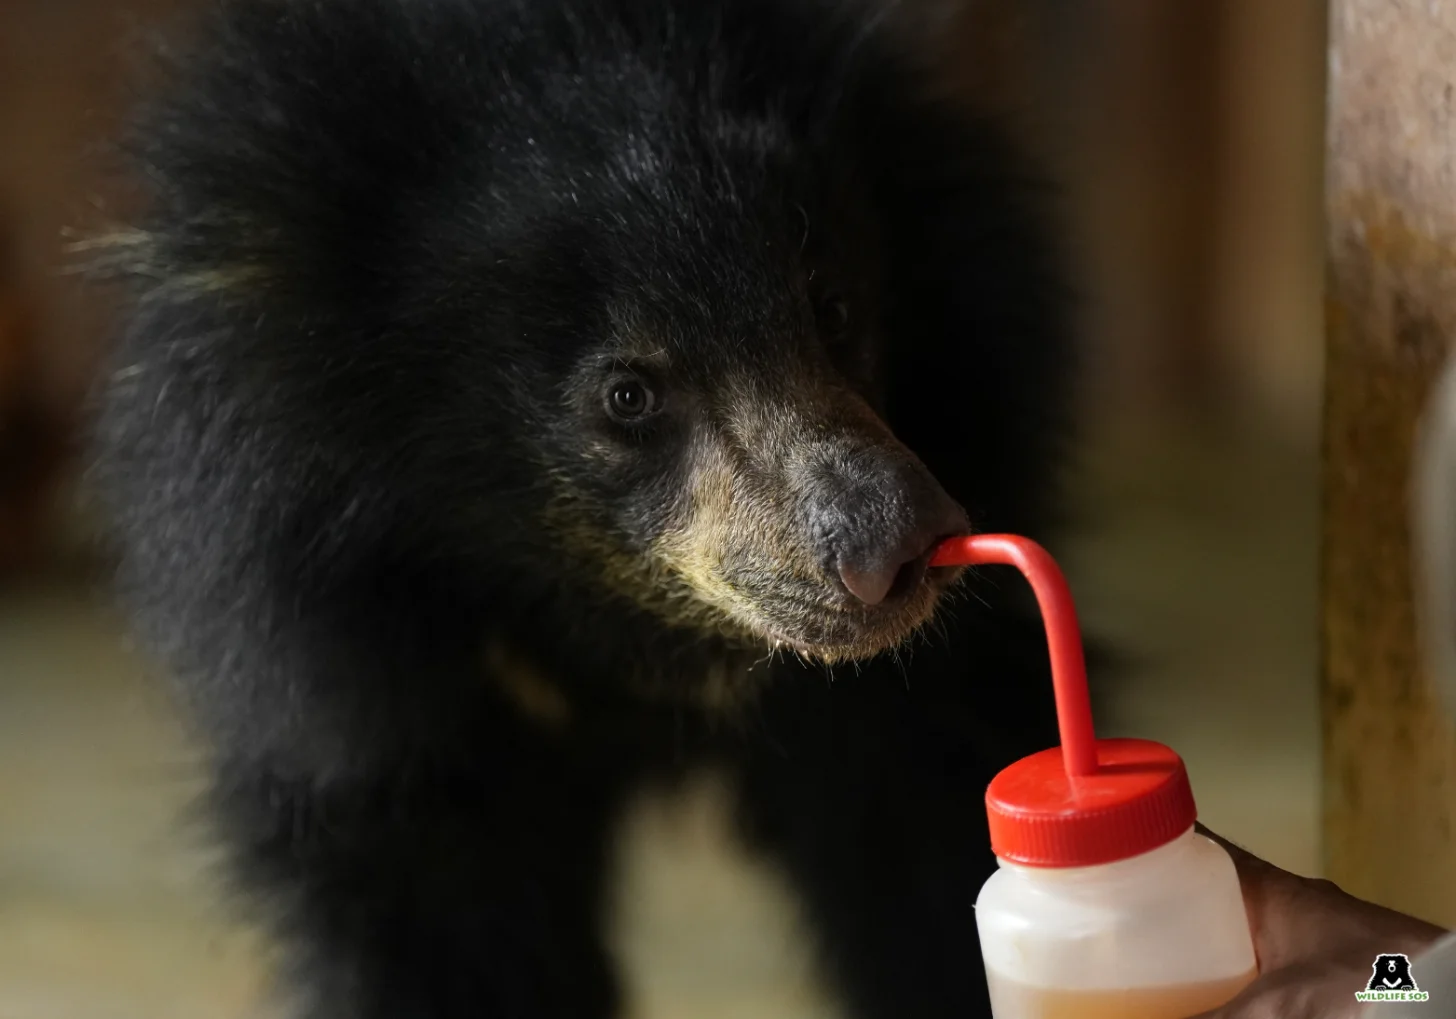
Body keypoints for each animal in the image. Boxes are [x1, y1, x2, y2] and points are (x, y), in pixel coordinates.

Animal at [88, 0, 1076, 1017]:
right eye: (627, 396)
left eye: (833, 309)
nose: (900, 544)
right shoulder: (365, 675)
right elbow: (433, 914)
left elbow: (920, 825)